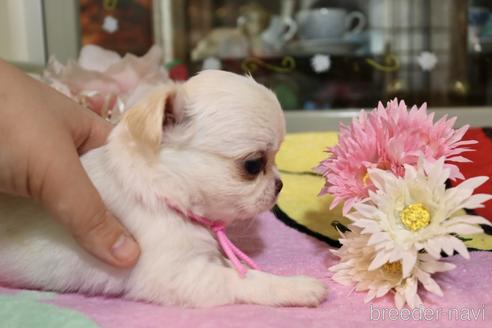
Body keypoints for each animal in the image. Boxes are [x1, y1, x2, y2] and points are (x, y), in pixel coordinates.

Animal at [0, 70, 326, 308]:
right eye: (254, 165)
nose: (280, 184)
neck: (163, 196)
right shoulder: (179, 275)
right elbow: (243, 279)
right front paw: (296, 287)